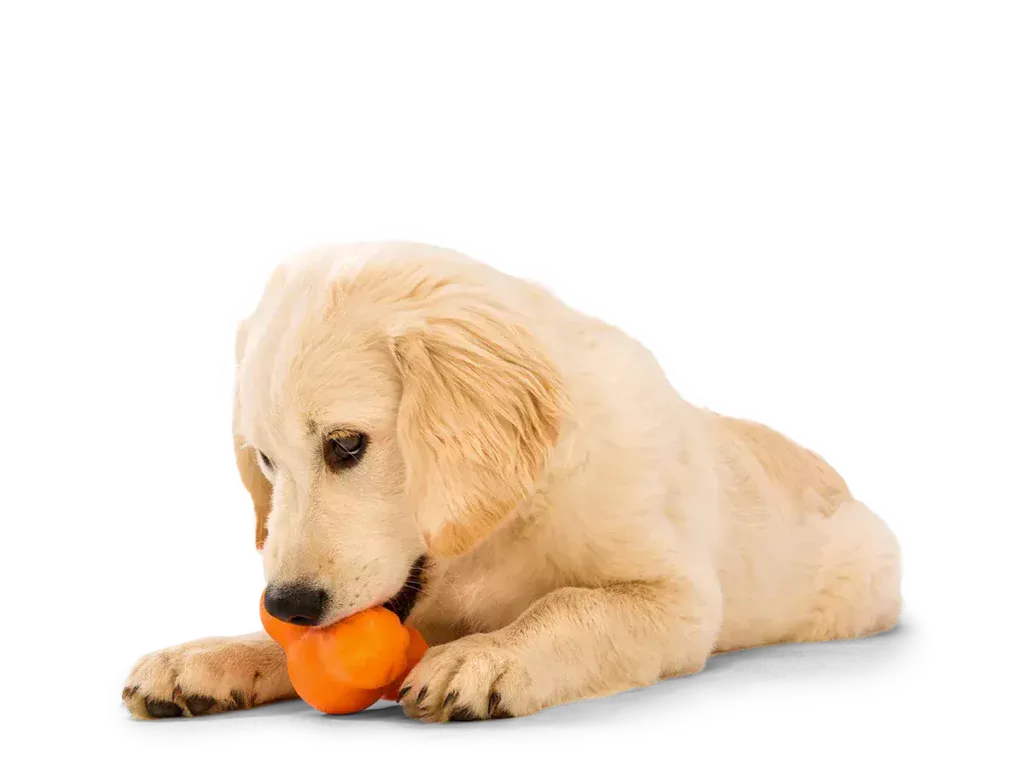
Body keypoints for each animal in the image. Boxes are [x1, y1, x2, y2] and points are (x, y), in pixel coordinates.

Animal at [121, 237, 913, 724]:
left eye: (346, 445)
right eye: (266, 463)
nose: (285, 603)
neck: (497, 534)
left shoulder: (676, 600)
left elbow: (571, 606)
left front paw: (487, 658)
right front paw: (211, 658)